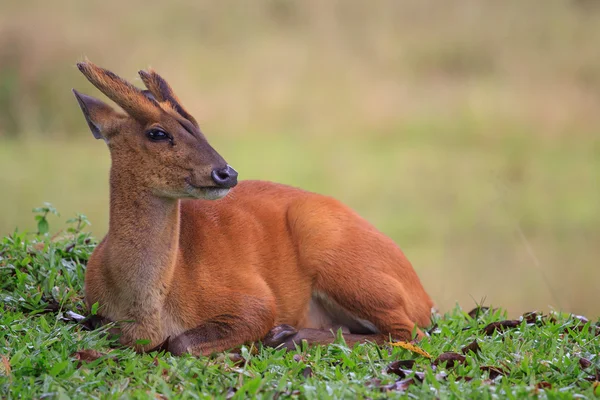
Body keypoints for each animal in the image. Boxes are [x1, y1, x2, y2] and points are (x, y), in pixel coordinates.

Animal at [72, 60, 434, 356]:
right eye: (157, 133)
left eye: (195, 124)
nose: (226, 172)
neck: (147, 313)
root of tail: (425, 297)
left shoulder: (255, 299)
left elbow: (181, 343)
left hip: (343, 262)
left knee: (409, 332)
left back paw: (287, 336)